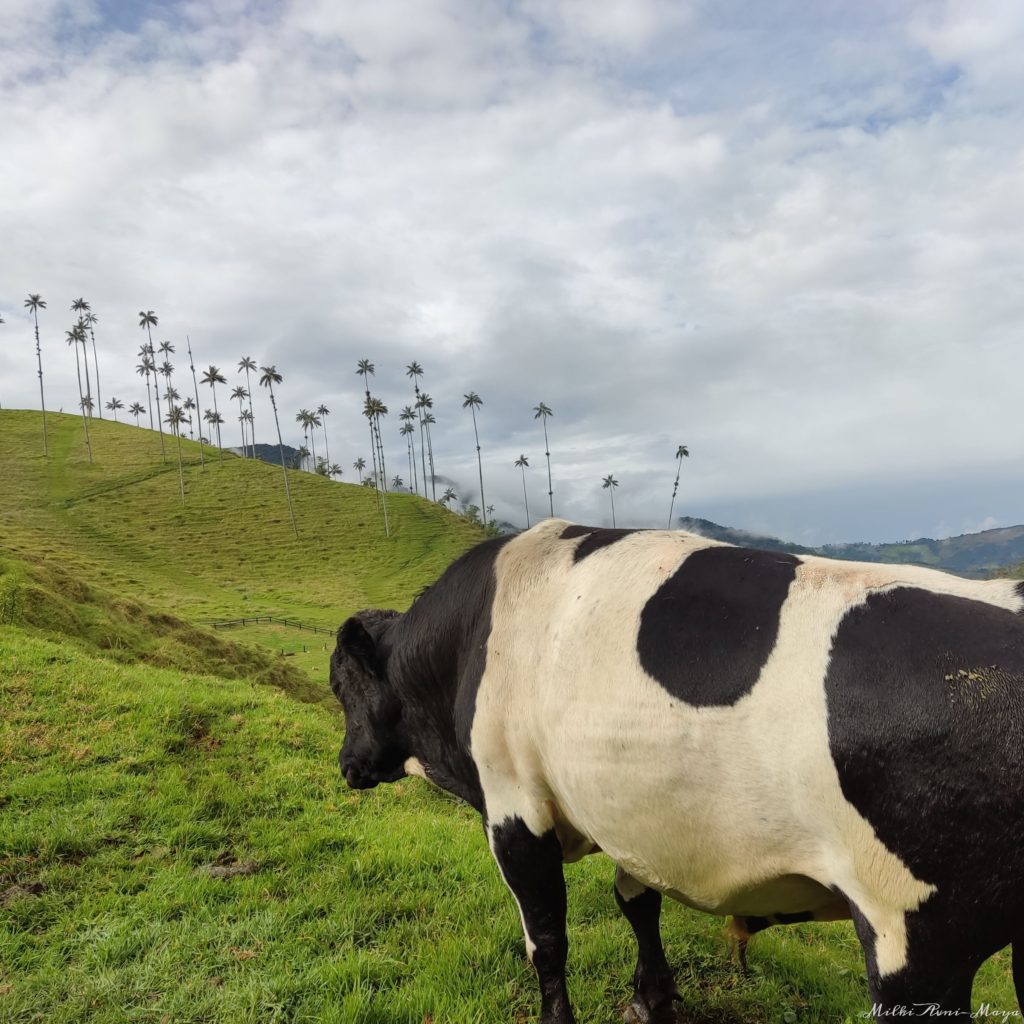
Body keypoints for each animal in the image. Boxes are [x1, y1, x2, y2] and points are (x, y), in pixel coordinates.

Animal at [329, 524, 1024, 1019]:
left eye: (340, 686)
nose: (346, 765)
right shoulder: (637, 816)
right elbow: (636, 901)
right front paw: (653, 998)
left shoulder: (513, 805)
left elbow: (546, 940)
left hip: (912, 933)